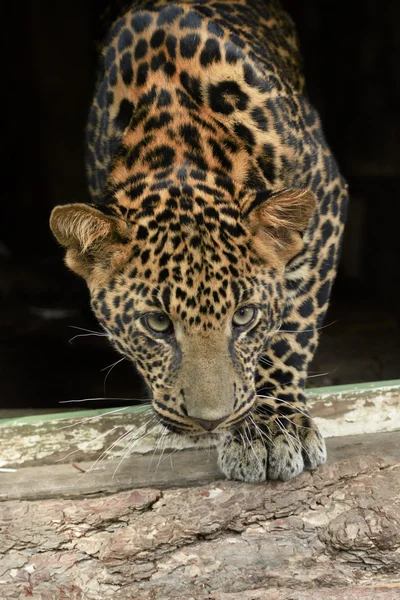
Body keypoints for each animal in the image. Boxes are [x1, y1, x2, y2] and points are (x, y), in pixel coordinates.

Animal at [50, 0, 346, 482]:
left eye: (244, 317)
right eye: (156, 324)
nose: (211, 421)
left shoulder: (325, 205)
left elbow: (291, 329)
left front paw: (273, 427)